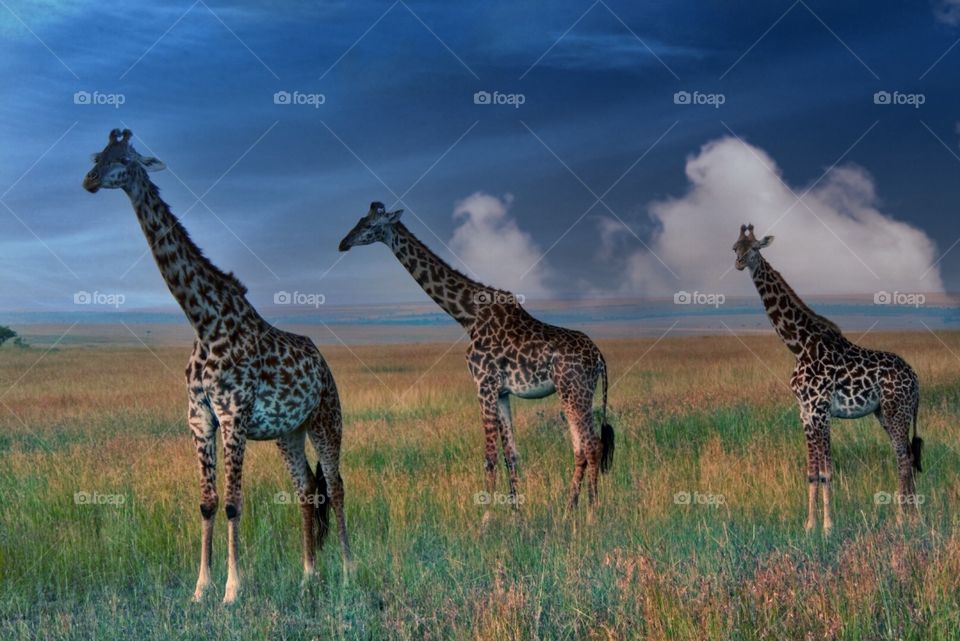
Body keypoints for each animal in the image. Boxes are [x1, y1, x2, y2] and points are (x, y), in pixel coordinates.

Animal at [82, 129, 351, 603]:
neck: (204, 321)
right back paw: (308, 575)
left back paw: (348, 572)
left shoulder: (233, 417)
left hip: (325, 419)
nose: (89, 180)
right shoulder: (200, 418)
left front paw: (232, 590)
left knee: (335, 487)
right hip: (289, 432)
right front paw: (199, 589)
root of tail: (324, 366)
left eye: (126, 159)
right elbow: (207, 503)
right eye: (99, 155)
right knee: (305, 490)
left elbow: (232, 503)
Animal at [338, 202, 614, 520]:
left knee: (592, 445)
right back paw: (569, 512)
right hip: (575, 393)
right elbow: (511, 455)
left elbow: (490, 457)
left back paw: (592, 515)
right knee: (580, 448)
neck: (467, 315)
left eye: (370, 225)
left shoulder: (483, 384)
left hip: (575, 391)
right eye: (360, 219)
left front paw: (485, 522)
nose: (343, 243)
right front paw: (517, 518)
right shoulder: (502, 391)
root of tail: (599, 357)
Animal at [733, 223, 922, 532]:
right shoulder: (805, 412)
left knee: (903, 457)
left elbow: (827, 471)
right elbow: (812, 472)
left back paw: (902, 519)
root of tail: (916, 379)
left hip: (897, 411)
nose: (738, 262)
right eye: (734, 247)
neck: (799, 345)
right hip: (884, 413)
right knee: (904, 453)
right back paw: (912, 516)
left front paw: (828, 526)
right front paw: (809, 526)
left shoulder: (821, 411)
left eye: (755, 248)